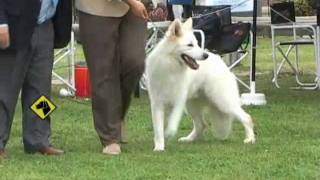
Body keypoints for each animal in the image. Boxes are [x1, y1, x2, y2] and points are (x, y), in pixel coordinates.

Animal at [145, 18, 255, 151]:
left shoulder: (178, 102)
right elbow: (158, 130)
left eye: (197, 44)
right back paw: (189, 139)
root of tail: (220, 61)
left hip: (222, 102)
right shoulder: (157, 104)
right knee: (201, 125)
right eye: (190, 45)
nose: (205, 55)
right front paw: (159, 147)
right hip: (192, 106)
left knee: (247, 118)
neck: (170, 66)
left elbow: (172, 124)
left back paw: (250, 139)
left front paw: (169, 134)